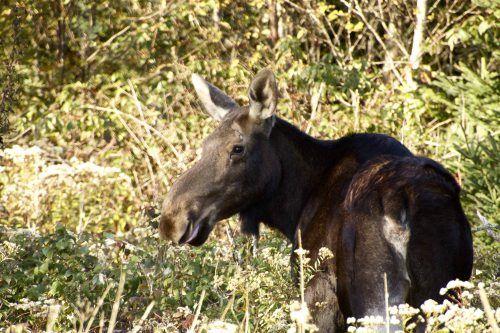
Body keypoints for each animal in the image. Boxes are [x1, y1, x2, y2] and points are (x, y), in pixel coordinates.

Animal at [159, 68, 472, 330]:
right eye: (204, 145)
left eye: (237, 148)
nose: (172, 218)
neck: (294, 205)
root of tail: (400, 204)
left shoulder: (316, 294)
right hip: (440, 296)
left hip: (377, 303)